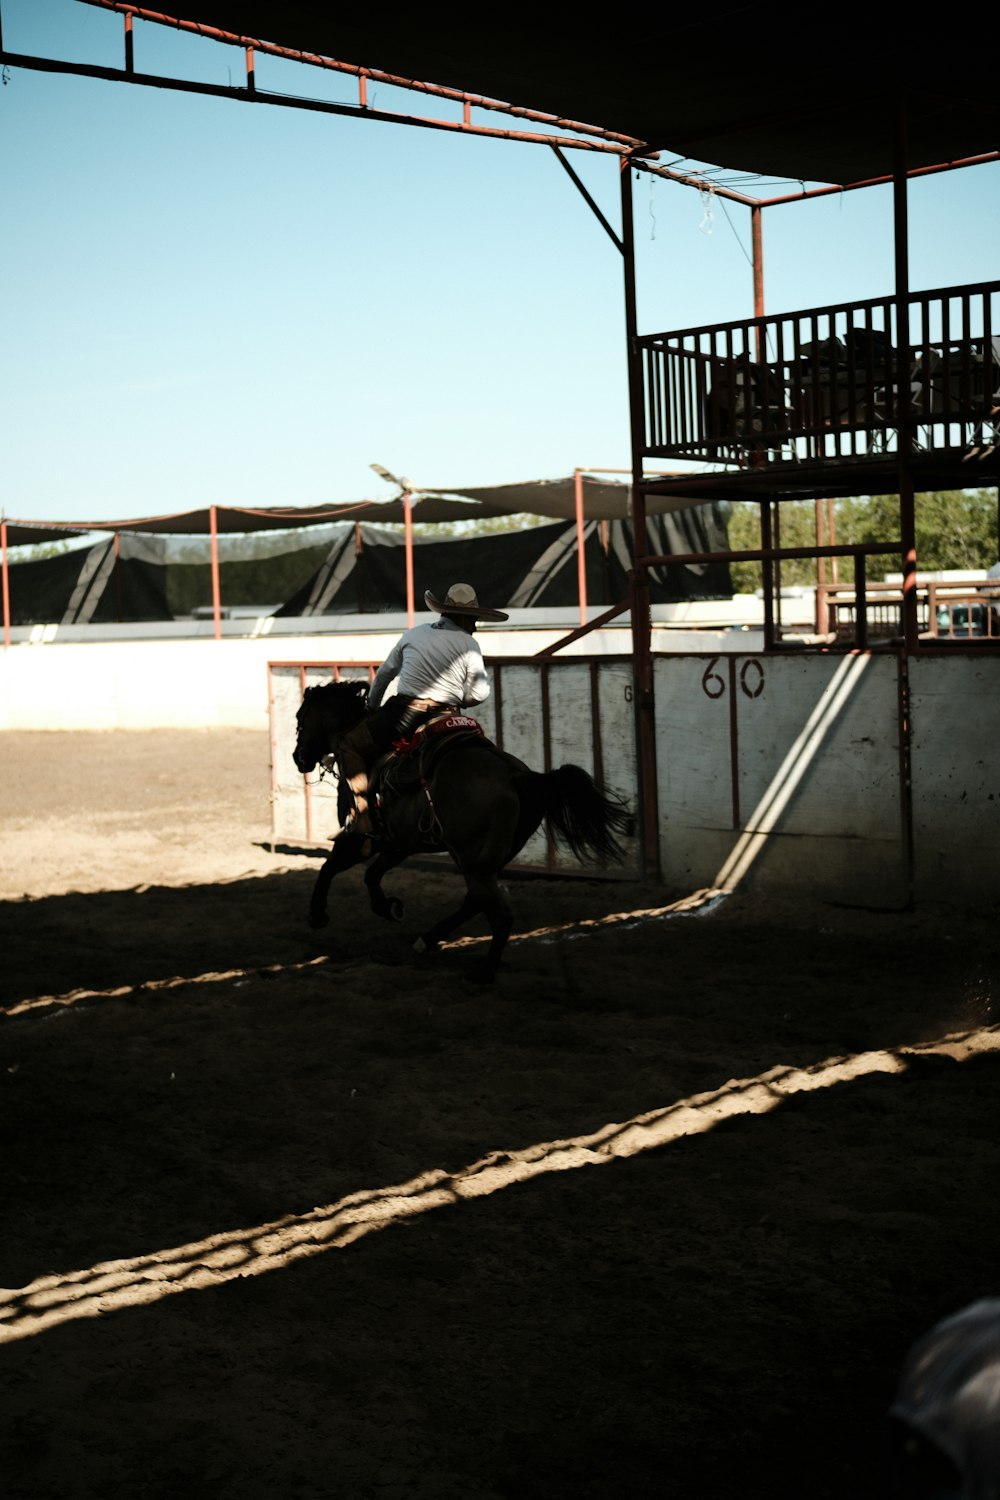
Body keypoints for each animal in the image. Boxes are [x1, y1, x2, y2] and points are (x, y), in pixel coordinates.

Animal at [293, 681, 629, 984]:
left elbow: (329, 867)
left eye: (300, 718)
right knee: (476, 900)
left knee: (499, 914)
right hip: (481, 859)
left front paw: (317, 915)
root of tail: (517, 775)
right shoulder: (400, 842)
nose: (298, 758)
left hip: (472, 860)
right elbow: (371, 875)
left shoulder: (360, 839)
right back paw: (428, 940)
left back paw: (483, 974)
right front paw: (388, 907)